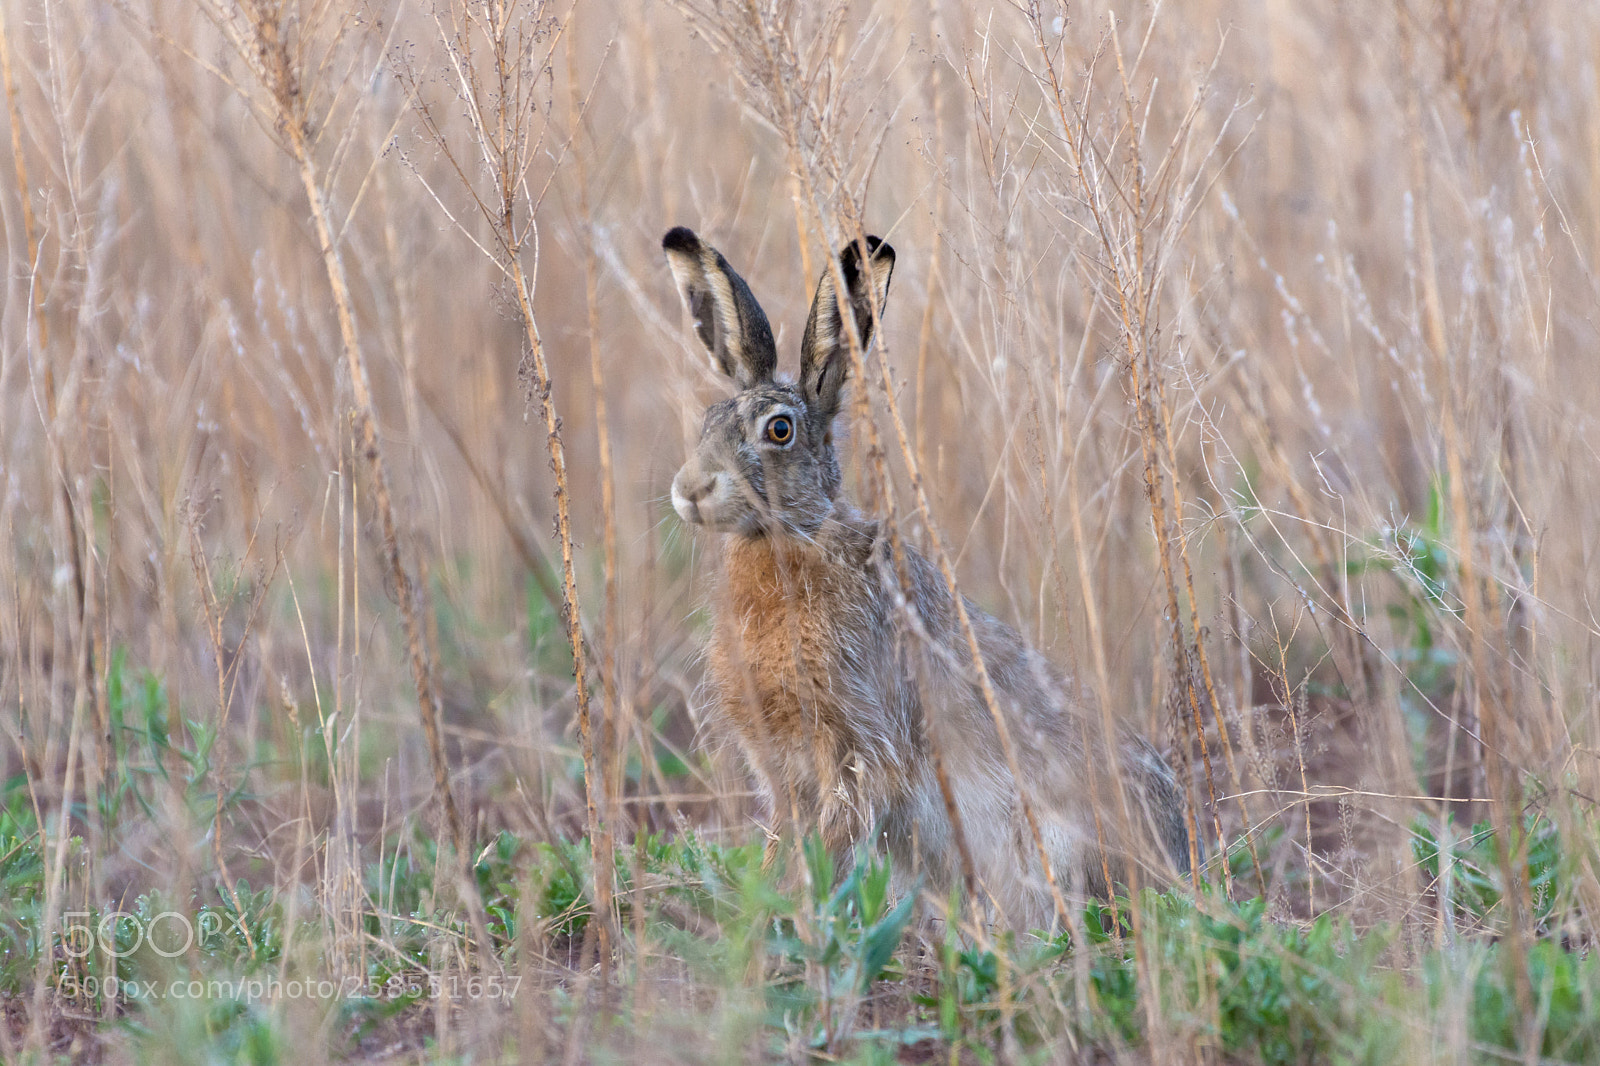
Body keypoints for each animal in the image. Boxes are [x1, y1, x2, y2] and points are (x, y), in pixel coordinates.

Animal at [664, 226, 1192, 929]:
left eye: (779, 430)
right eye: (709, 421)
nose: (691, 488)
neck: (795, 537)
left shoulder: (861, 745)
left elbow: (833, 841)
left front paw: (793, 913)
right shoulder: (784, 769)